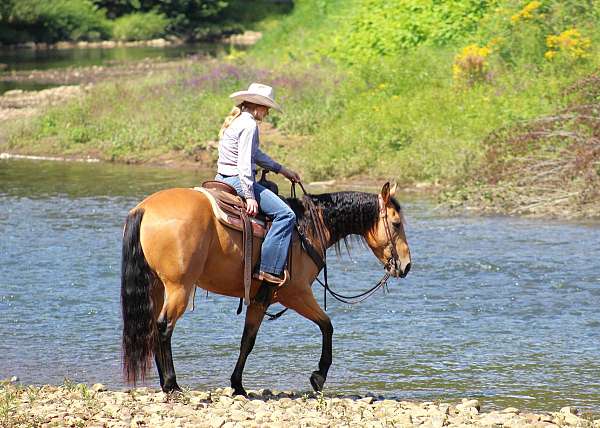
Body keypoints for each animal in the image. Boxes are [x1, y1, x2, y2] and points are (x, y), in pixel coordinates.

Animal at [122, 181, 412, 394]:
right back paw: (171, 384)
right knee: (164, 326)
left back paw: (165, 382)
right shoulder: (295, 293)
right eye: (396, 223)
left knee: (153, 327)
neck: (307, 228)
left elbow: (247, 341)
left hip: (157, 286)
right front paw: (318, 376)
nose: (407, 265)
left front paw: (237, 385)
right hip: (179, 287)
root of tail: (144, 209)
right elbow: (327, 325)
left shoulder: (261, 299)